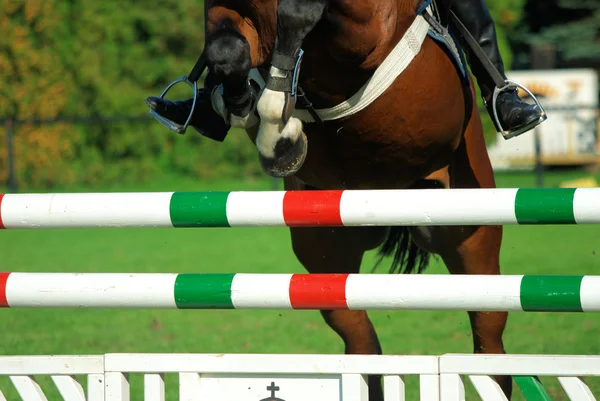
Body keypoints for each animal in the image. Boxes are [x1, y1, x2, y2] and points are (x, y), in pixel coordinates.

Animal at [149, 0, 510, 396]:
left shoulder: (367, 33)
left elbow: (298, 15)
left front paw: (277, 129)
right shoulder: (230, 15)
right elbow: (226, 51)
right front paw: (248, 111)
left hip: (471, 234)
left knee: (489, 336)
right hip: (327, 260)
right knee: (360, 344)